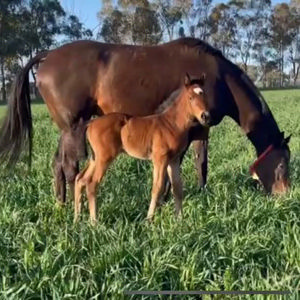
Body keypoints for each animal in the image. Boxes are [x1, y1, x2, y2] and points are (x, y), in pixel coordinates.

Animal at [0, 38, 292, 202]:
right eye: (283, 163)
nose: (285, 195)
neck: (218, 79)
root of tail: (48, 56)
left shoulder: (202, 128)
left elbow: (201, 164)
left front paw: (200, 193)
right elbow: (178, 165)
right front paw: (165, 199)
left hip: (66, 129)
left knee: (58, 165)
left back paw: (60, 205)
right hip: (73, 127)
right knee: (71, 168)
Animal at [74, 74, 210, 224]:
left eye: (204, 95)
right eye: (190, 97)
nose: (205, 116)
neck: (171, 124)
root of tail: (91, 123)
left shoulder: (173, 160)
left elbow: (177, 187)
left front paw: (180, 219)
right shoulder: (160, 159)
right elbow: (157, 187)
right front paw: (149, 219)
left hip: (95, 158)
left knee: (80, 179)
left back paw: (77, 219)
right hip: (104, 158)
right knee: (92, 183)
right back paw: (94, 222)